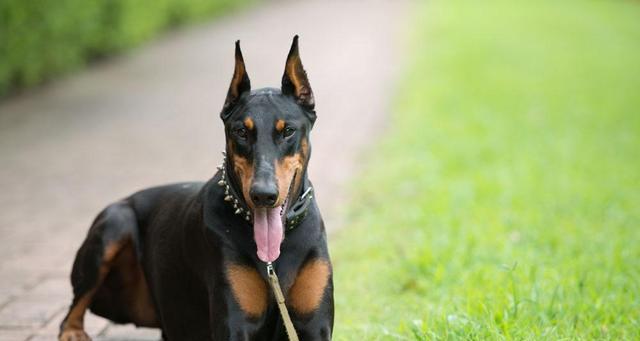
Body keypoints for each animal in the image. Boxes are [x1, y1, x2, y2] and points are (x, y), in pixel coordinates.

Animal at [58, 35, 336, 340]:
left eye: (287, 131)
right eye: (241, 131)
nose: (263, 195)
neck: (274, 259)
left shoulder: (313, 324)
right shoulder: (234, 325)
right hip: (114, 222)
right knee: (71, 311)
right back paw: (72, 332)